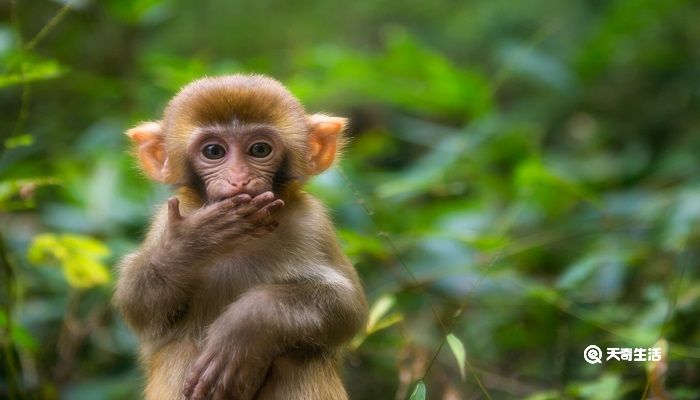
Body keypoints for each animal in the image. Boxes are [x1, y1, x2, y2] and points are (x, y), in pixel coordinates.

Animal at [114, 75, 366, 400]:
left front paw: (245, 328)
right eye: (213, 151)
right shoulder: (166, 221)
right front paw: (195, 239)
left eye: (259, 150)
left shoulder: (313, 224)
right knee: (180, 348)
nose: (239, 179)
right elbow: (138, 304)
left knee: (301, 360)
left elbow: (348, 306)